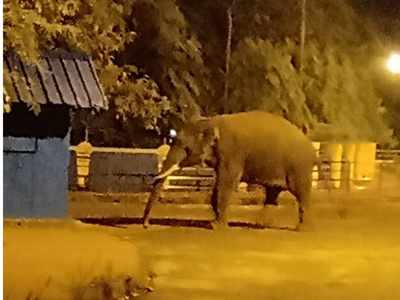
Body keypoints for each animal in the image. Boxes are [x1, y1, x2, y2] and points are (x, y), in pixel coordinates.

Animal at [142, 110, 318, 230]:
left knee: (300, 192)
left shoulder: (231, 152)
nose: (146, 225)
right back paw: (260, 225)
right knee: (272, 194)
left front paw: (215, 226)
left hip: (299, 167)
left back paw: (302, 229)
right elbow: (219, 185)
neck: (210, 121)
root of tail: (311, 147)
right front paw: (215, 222)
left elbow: (226, 183)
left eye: (185, 147)